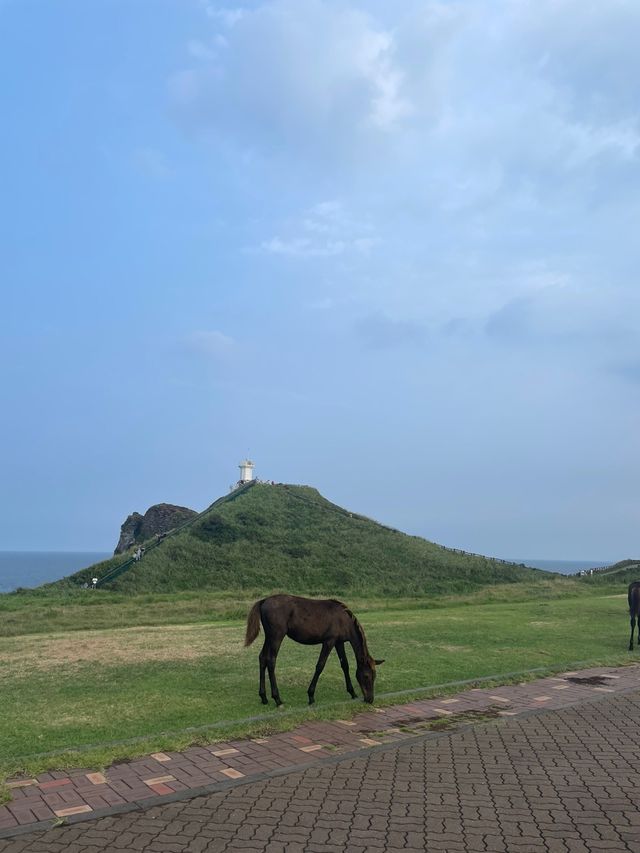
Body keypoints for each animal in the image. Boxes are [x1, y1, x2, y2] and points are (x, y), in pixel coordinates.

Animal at [245, 592, 384, 704]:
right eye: (366, 676)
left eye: (374, 676)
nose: (370, 699)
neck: (344, 620)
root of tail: (264, 601)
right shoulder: (329, 641)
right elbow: (320, 666)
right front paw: (311, 696)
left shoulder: (339, 642)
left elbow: (345, 665)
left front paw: (352, 692)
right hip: (276, 636)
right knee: (271, 660)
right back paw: (277, 698)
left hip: (269, 637)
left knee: (262, 658)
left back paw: (264, 697)